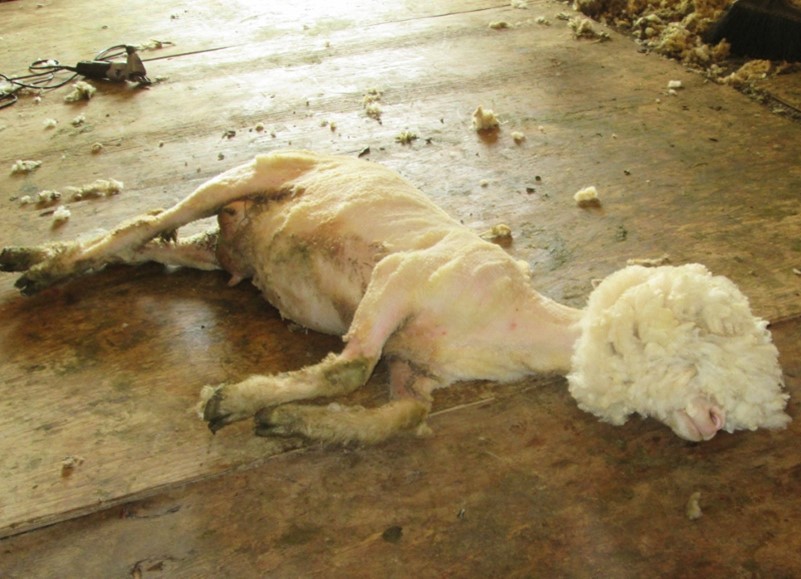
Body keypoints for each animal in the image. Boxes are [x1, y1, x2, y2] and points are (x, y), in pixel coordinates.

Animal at [0, 150, 790, 444]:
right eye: (701, 350)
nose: (714, 425)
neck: (507, 327)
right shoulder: (401, 279)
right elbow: (351, 366)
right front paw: (231, 401)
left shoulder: (414, 370)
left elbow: (398, 415)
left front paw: (293, 421)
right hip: (247, 174)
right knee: (143, 221)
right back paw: (38, 271)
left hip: (219, 251)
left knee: (150, 245)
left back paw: (31, 257)